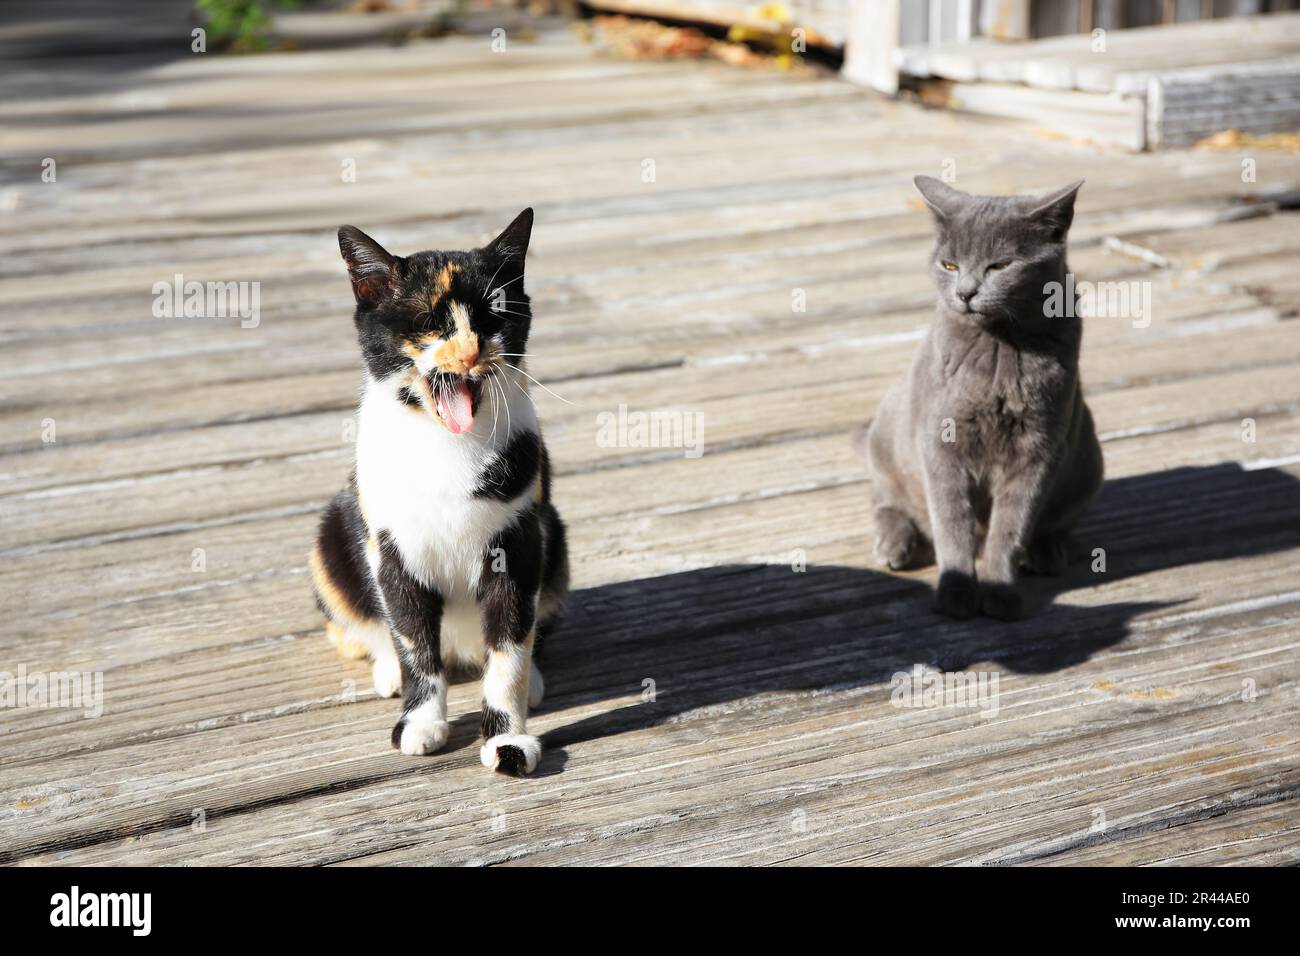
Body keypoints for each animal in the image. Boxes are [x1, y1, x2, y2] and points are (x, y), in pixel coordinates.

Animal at [309, 209, 569, 780]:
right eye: (429, 319)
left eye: (496, 314)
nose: (470, 352)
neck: (447, 446)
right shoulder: (392, 549)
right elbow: (413, 643)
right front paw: (420, 721)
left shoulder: (518, 544)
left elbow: (508, 655)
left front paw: (509, 739)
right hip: (332, 530)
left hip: (555, 537)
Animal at [857, 178, 1102, 621]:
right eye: (950, 265)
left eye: (1000, 266)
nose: (966, 292)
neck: (1003, 346)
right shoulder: (940, 444)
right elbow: (952, 522)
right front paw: (957, 593)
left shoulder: (1039, 449)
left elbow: (1011, 526)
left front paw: (1000, 593)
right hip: (887, 428)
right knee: (884, 496)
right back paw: (894, 542)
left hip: (1088, 454)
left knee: (1055, 521)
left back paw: (1046, 550)